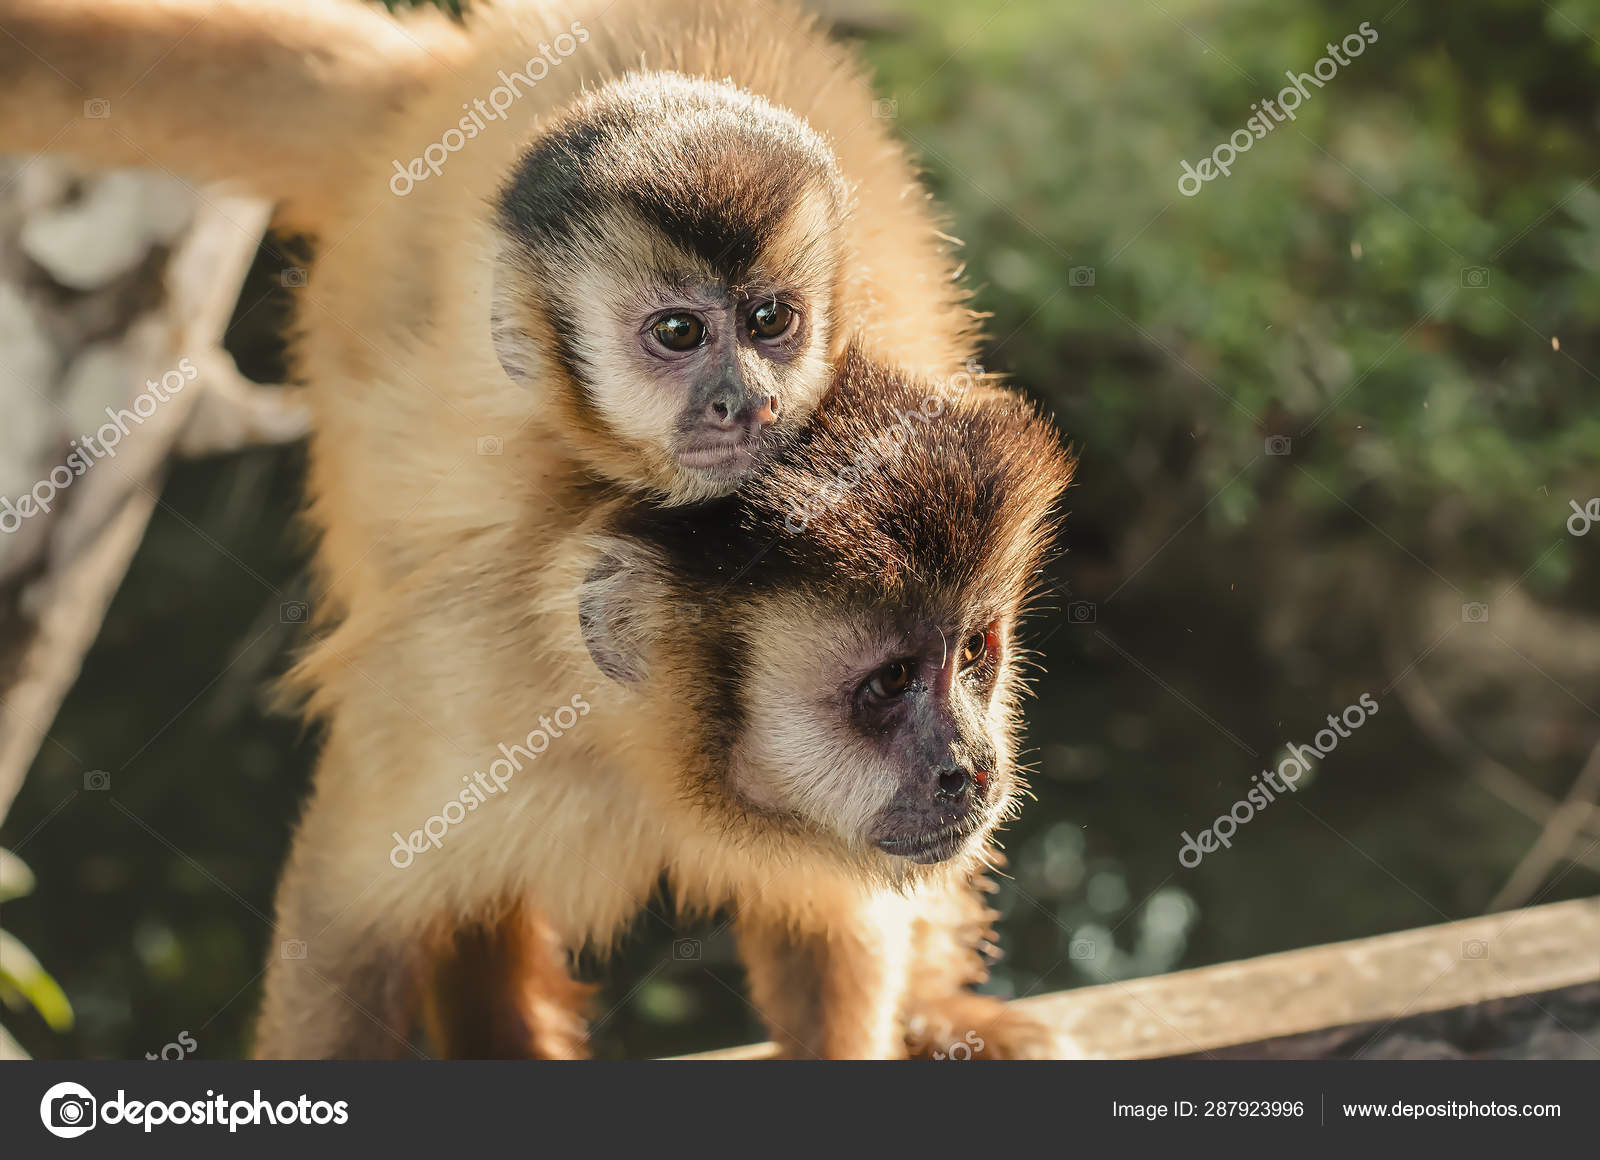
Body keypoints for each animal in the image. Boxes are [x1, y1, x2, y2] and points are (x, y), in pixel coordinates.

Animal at [262, 348, 1075, 1062]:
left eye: (973, 654)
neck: (653, 751)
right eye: (891, 681)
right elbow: (346, 919)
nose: (971, 768)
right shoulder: (466, 691)